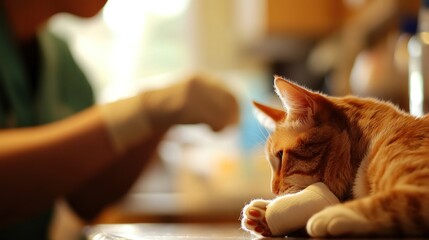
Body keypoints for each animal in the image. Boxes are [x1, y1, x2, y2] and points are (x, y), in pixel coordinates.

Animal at [242, 76, 428, 236]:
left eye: (281, 156)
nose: (273, 190)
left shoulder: (419, 184)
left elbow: (392, 199)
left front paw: (332, 214)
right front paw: (265, 210)